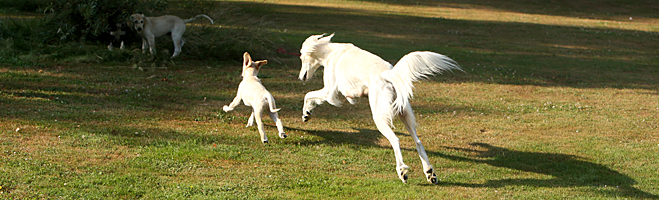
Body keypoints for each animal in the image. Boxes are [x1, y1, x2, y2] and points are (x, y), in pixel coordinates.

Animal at [300, 33, 464, 184]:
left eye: (301, 58)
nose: (301, 78)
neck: (330, 51)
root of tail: (388, 74)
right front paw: (308, 112)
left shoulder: (329, 92)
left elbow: (308, 95)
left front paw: (306, 113)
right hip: (404, 113)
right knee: (418, 142)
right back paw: (429, 172)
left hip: (379, 117)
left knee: (396, 140)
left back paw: (402, 171)